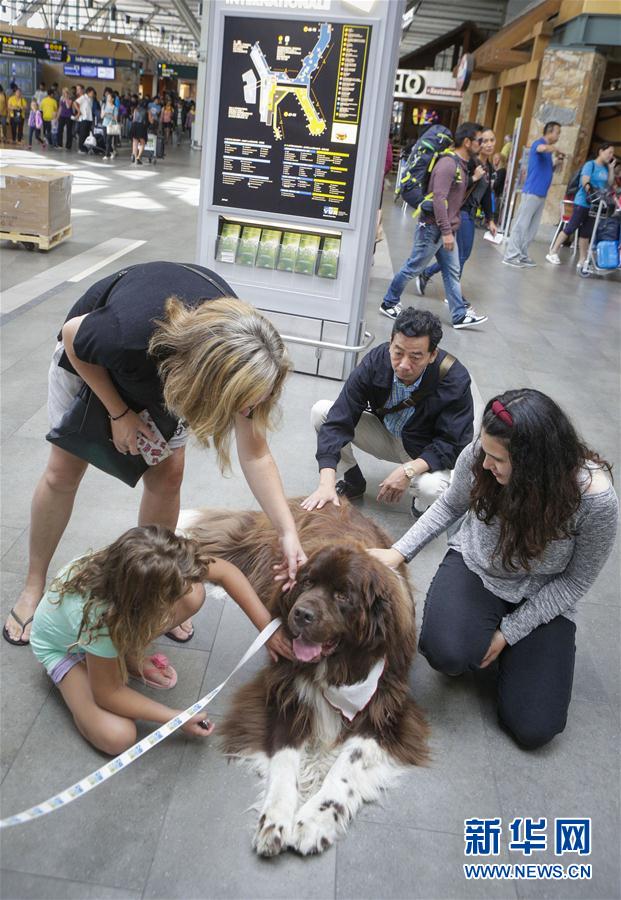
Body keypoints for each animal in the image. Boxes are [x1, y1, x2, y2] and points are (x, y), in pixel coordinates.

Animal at [180, 502, 426, 856]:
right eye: (307, 582)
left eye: (343, 595)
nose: (301, 613)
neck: (338, 665)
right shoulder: (283, 690)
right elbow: (285, 756)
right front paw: (275, 819)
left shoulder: (386, 708)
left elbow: (347, 765)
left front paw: (316, 819)